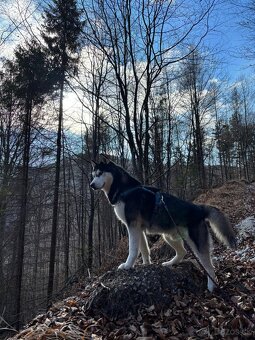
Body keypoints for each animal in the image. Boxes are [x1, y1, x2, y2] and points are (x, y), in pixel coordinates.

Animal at [90, 158, 236, 290]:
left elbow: (133, 249)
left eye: (100, 173)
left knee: (209, 267)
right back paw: (170, 263)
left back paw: (211, 286)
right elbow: (144, 249)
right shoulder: (138, 229)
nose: (91, 185)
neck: (126, 189)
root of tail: (199, 208)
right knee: (182, 252)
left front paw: (127, 265)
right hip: (169, 236)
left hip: (196, 245)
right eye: (93, 174)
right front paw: (146, 264)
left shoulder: (132, 226)